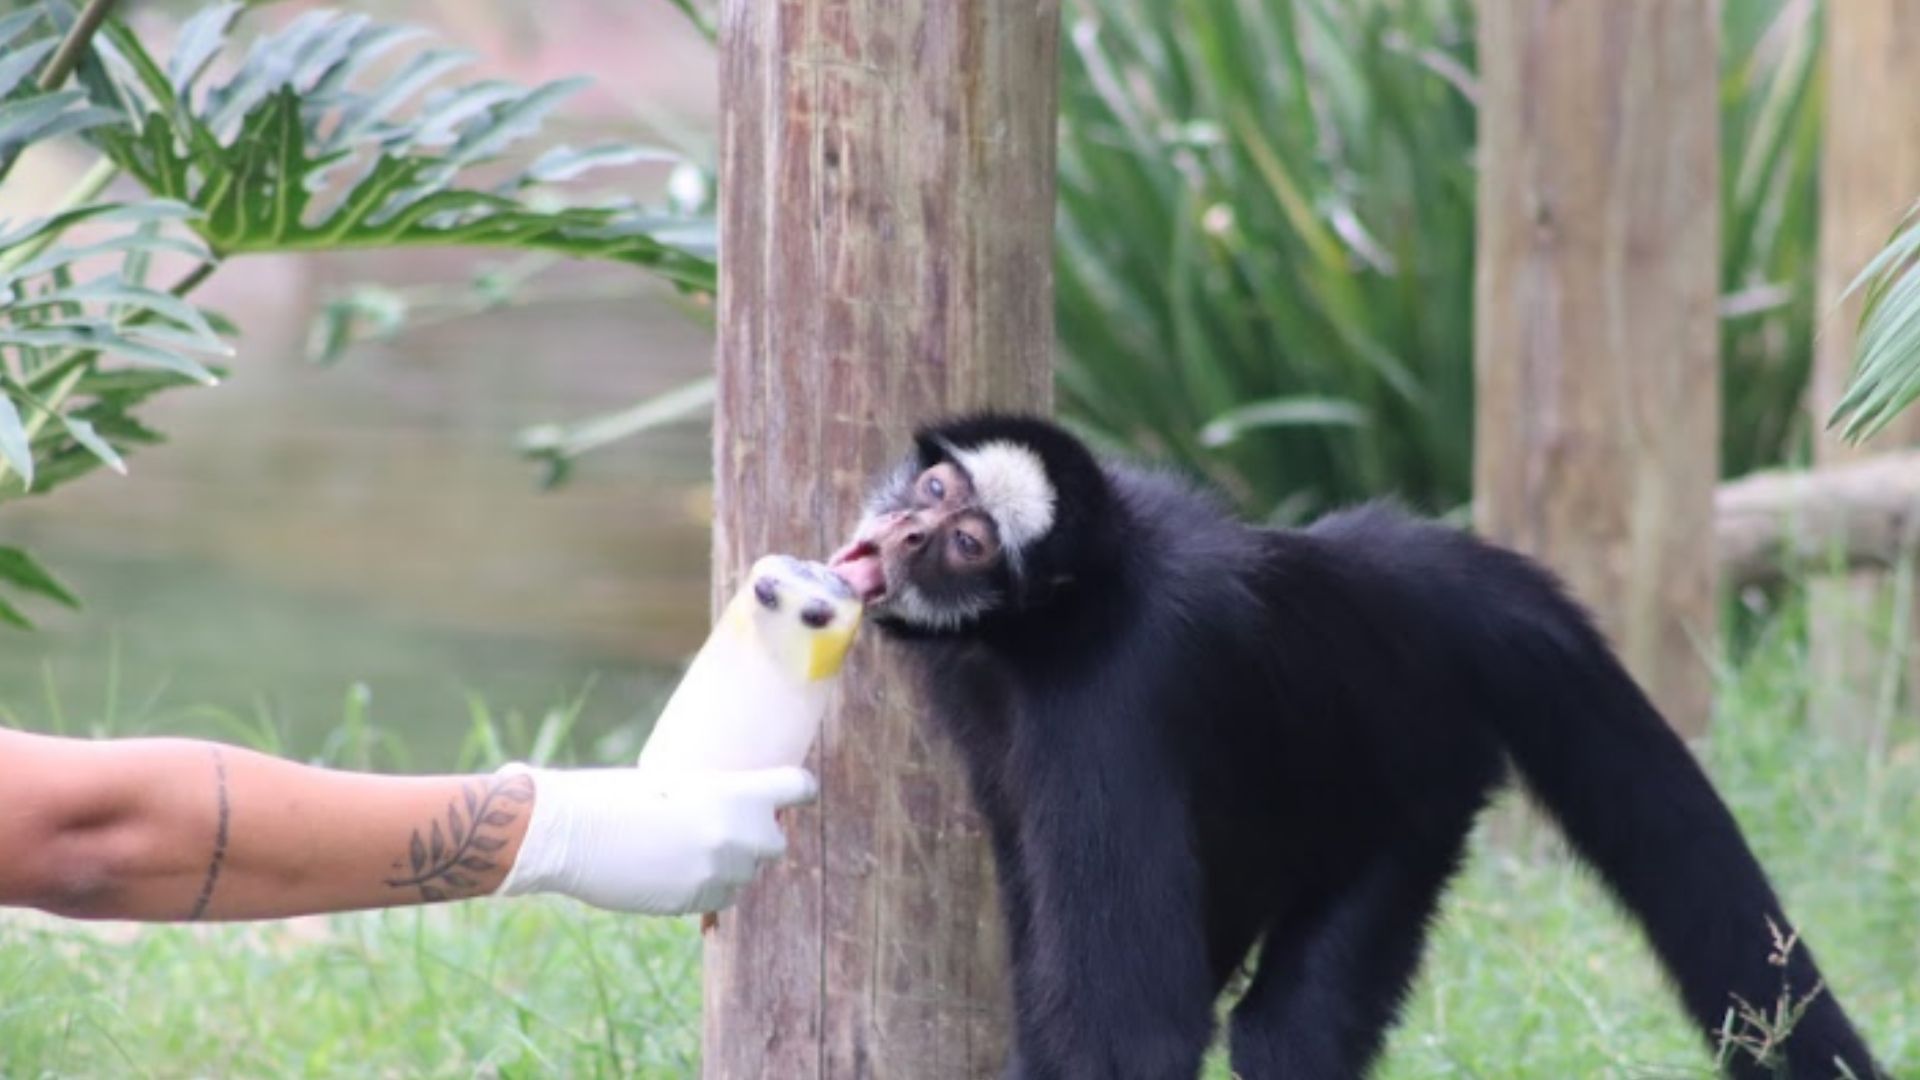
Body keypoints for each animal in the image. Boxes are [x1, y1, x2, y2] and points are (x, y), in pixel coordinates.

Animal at [826, 413, 1883, 1080]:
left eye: (967, 541)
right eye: (934, 486)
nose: (908, 530)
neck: (1058, 618)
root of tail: (1414, 581)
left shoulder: (1107, 705)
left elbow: (1133, 1038)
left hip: (1416, 807)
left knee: (1286, 1038)